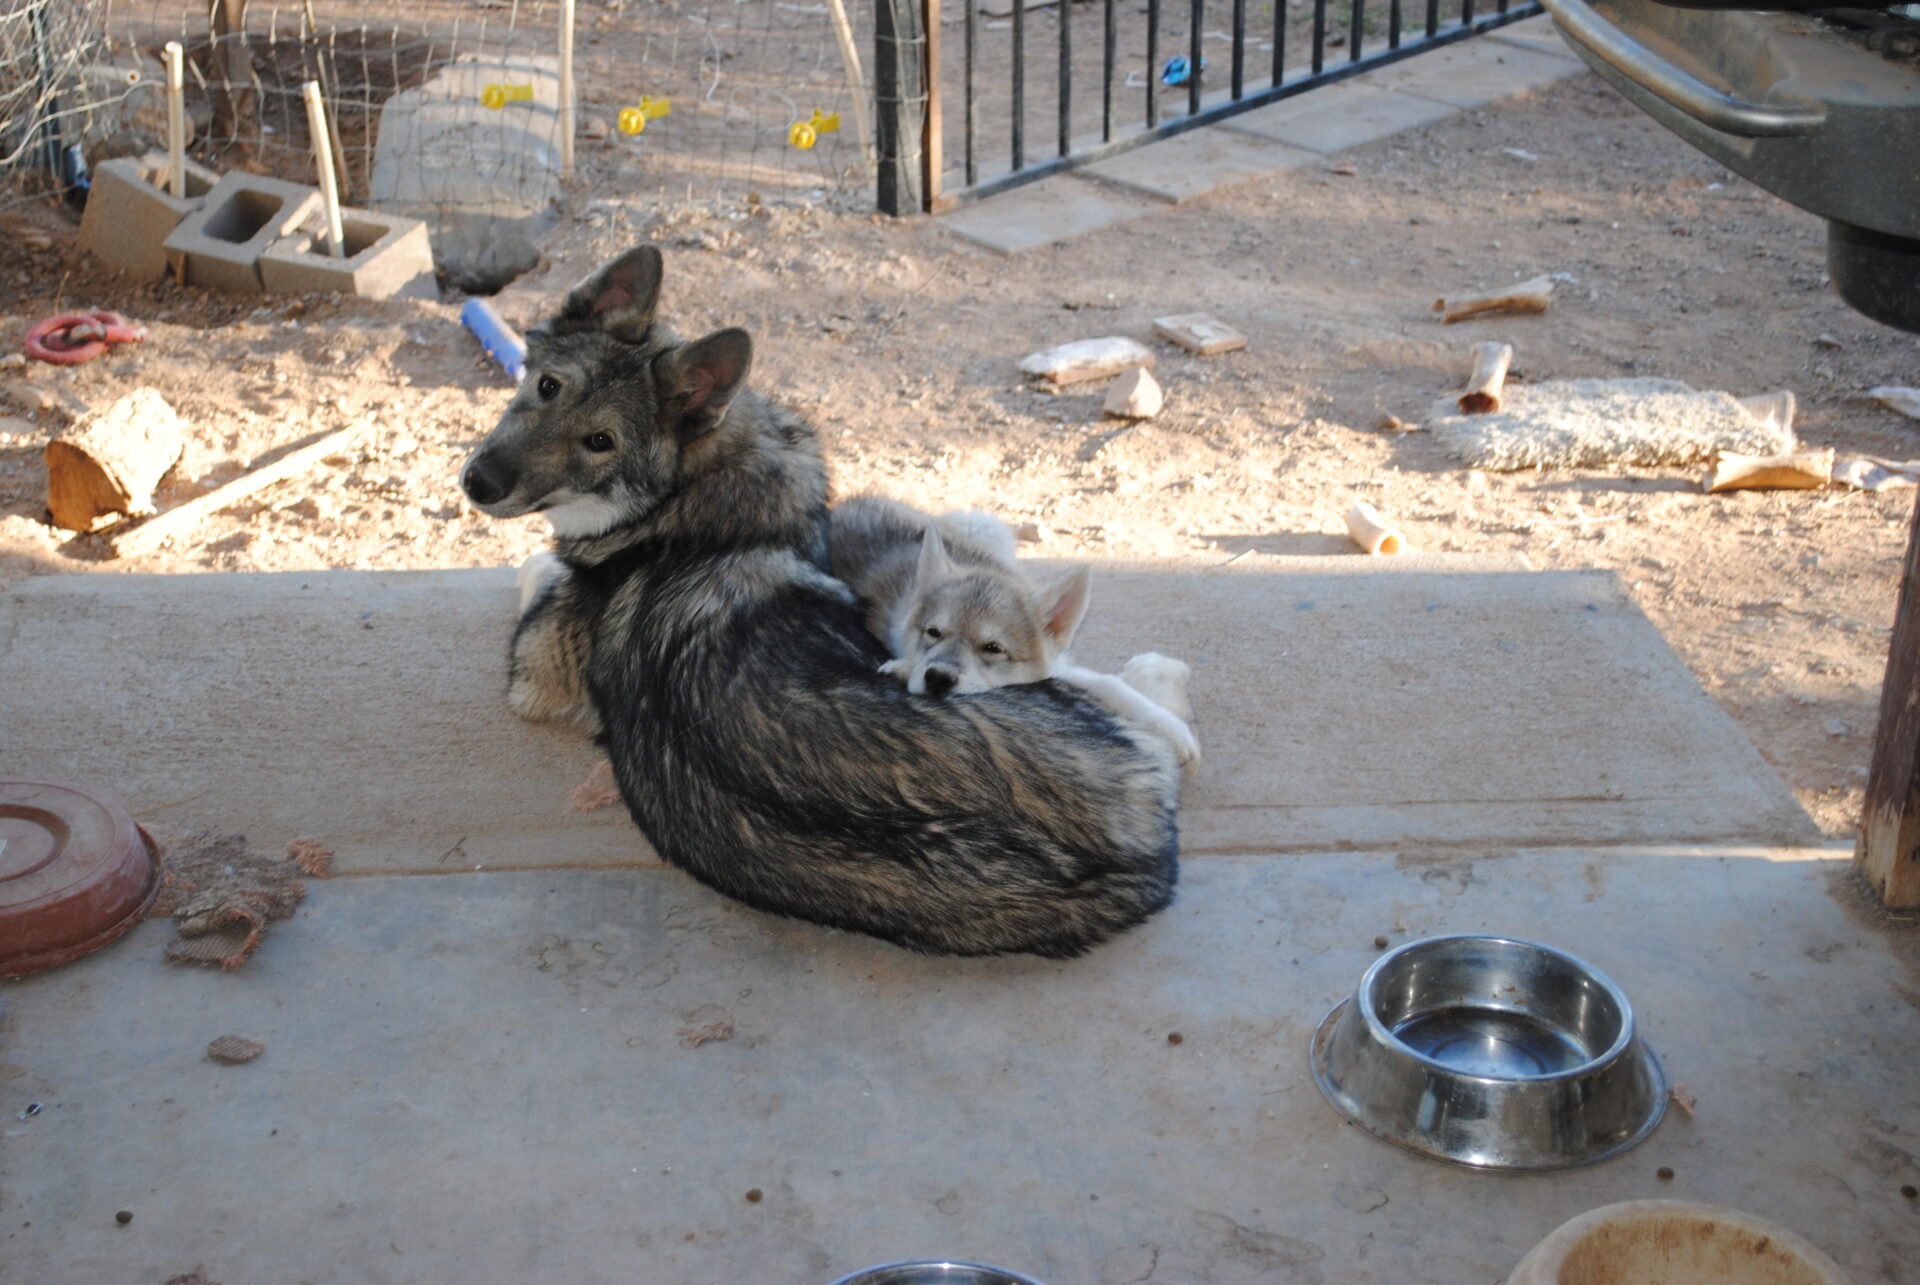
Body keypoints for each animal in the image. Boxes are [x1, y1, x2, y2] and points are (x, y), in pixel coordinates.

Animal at [829, 495, 1198, 768]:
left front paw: (1173, 730)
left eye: (993, 648)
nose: (937, 679)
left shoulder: (1058, 668)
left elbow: (1113, 686)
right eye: (933, 632)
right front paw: (904, 667)